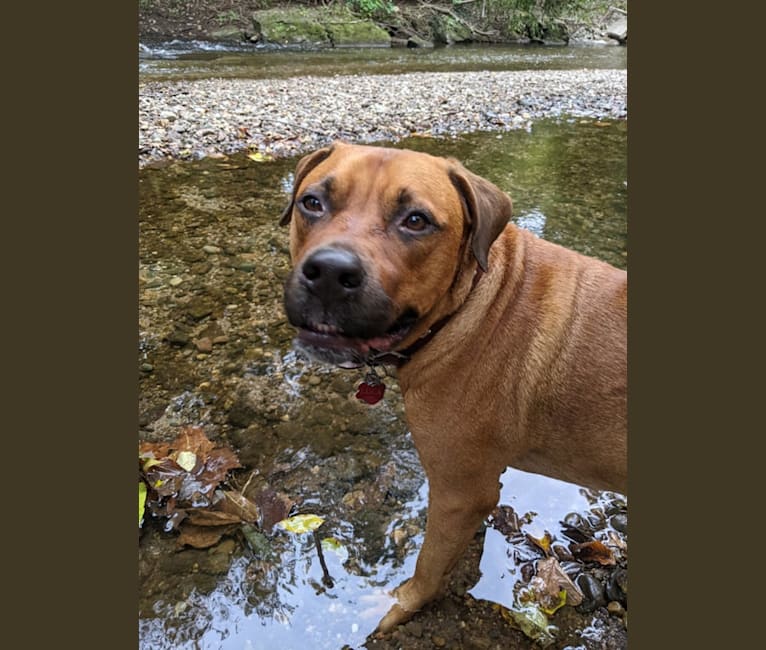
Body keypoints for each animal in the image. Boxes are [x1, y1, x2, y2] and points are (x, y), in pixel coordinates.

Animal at [280, 140, 628, 628]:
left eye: (416, 220)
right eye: (312, 202)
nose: (330, 273)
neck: (468, 306)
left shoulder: (458, 492)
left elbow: (428, 565)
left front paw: (398, 605)